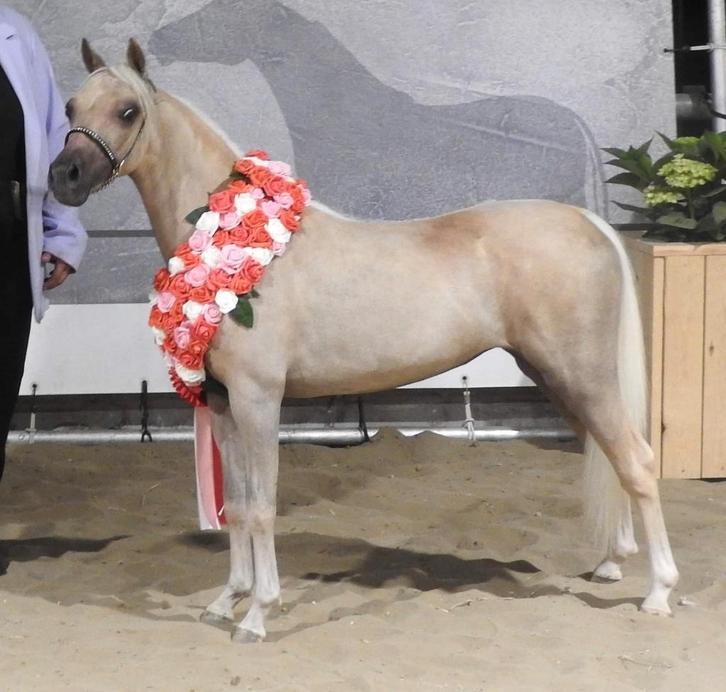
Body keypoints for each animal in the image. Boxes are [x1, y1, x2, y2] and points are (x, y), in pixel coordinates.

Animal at [48, 39, 678, 643]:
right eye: (71, 108)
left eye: (128, 111)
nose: (64, 177)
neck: (229, 235)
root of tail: (586, 222)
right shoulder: (225, 404)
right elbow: (241, 506)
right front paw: (227, 601)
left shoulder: (259, 400)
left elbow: (263, 507)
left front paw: (258, 615)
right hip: (556, 376)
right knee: (606, 452)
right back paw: (613, 563)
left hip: (581, 374)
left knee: (638, 461)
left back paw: (658, 592)